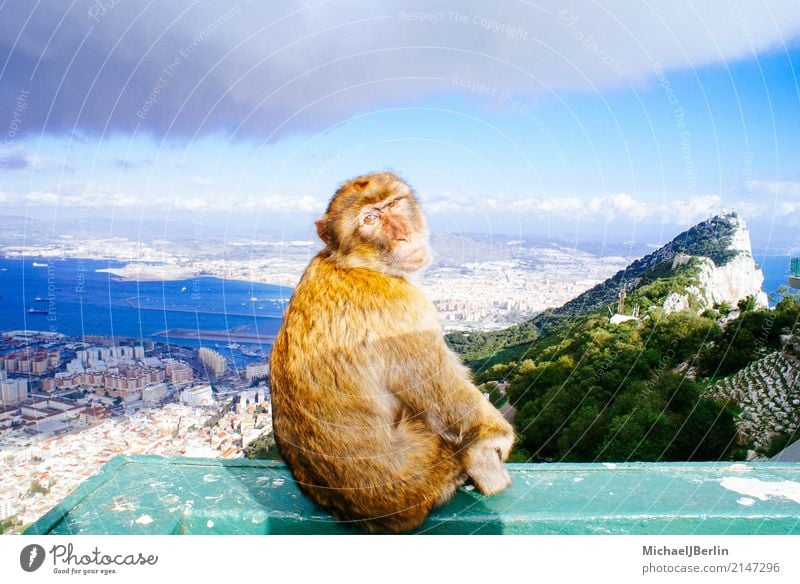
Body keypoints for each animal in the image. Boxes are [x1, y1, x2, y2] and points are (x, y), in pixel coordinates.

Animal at [272, 171, 516, 532]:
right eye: (369, 219)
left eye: (393, 204)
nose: (402, 234)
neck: (355, 265)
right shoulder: (404, 310)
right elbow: (450, 402)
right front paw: (494, 440)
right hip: (427, 470)